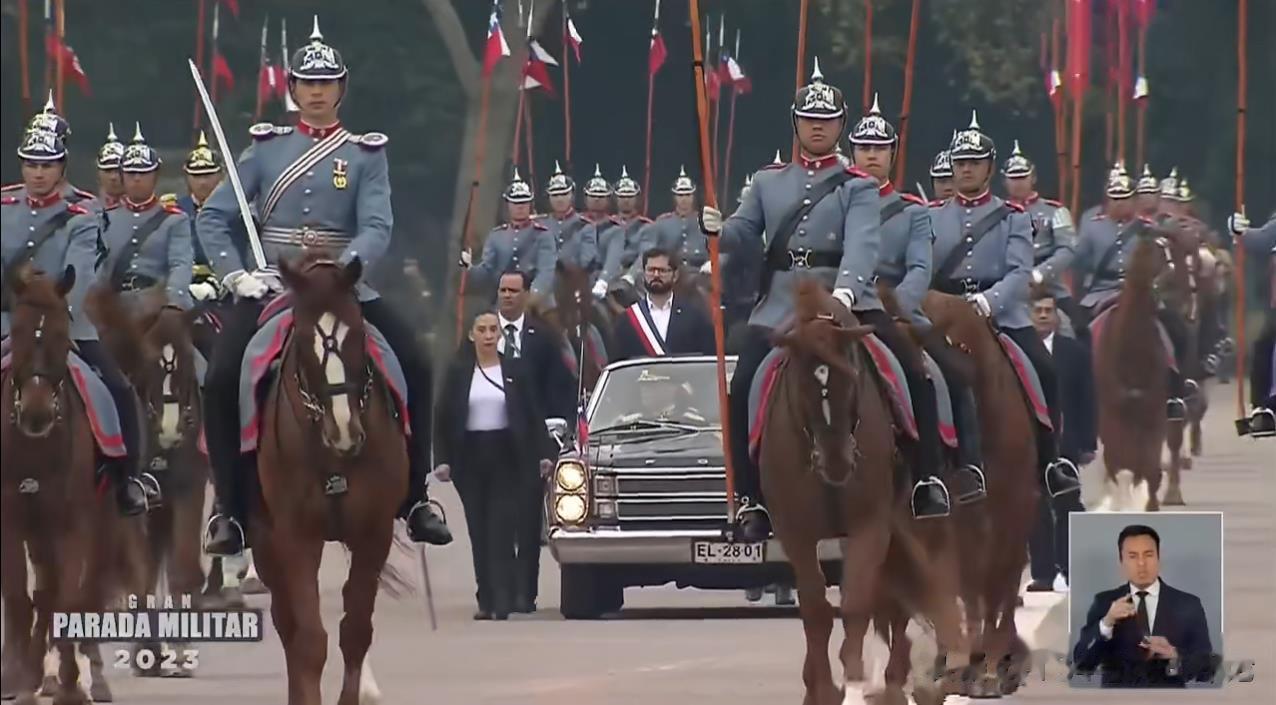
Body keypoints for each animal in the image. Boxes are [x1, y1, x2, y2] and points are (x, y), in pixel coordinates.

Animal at [0, 266, 144, 703]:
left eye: (63, 335)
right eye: (18, 329)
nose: (36, 415)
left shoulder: (72, 527)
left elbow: (66, 600)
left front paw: (66, 684)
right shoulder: (11, 523)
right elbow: (18, 598)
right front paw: (18, 678)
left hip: (100, 529)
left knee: (81, 595)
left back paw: (85, 677)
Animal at [247, 253, 405, 703]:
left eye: (358, 334)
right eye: (303, 342)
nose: (345, 433)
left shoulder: (374, 533)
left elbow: (355, 631)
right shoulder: (296, 536)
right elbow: (309, 640)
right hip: (265, 543)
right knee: (287, 625)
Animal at [755, 279, 959, 703]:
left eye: (850, 378)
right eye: (801, 384)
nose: (836, 462)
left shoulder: (871, 525)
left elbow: (856, 605)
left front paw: (852, 680)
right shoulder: (796, 533)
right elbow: (816, 609)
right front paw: (820, 687)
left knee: (901, 600)